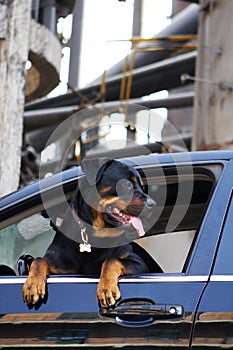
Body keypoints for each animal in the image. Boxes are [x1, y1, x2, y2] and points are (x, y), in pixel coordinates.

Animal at [22, 157, 159, 308]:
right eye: (127, 184)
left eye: (142, 187)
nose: (153, 204)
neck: (96, 235)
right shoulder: (58, 266)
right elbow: (38, 260)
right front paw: (32, 285)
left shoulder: (139, 265)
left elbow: (111, 259)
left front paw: (106, 288)